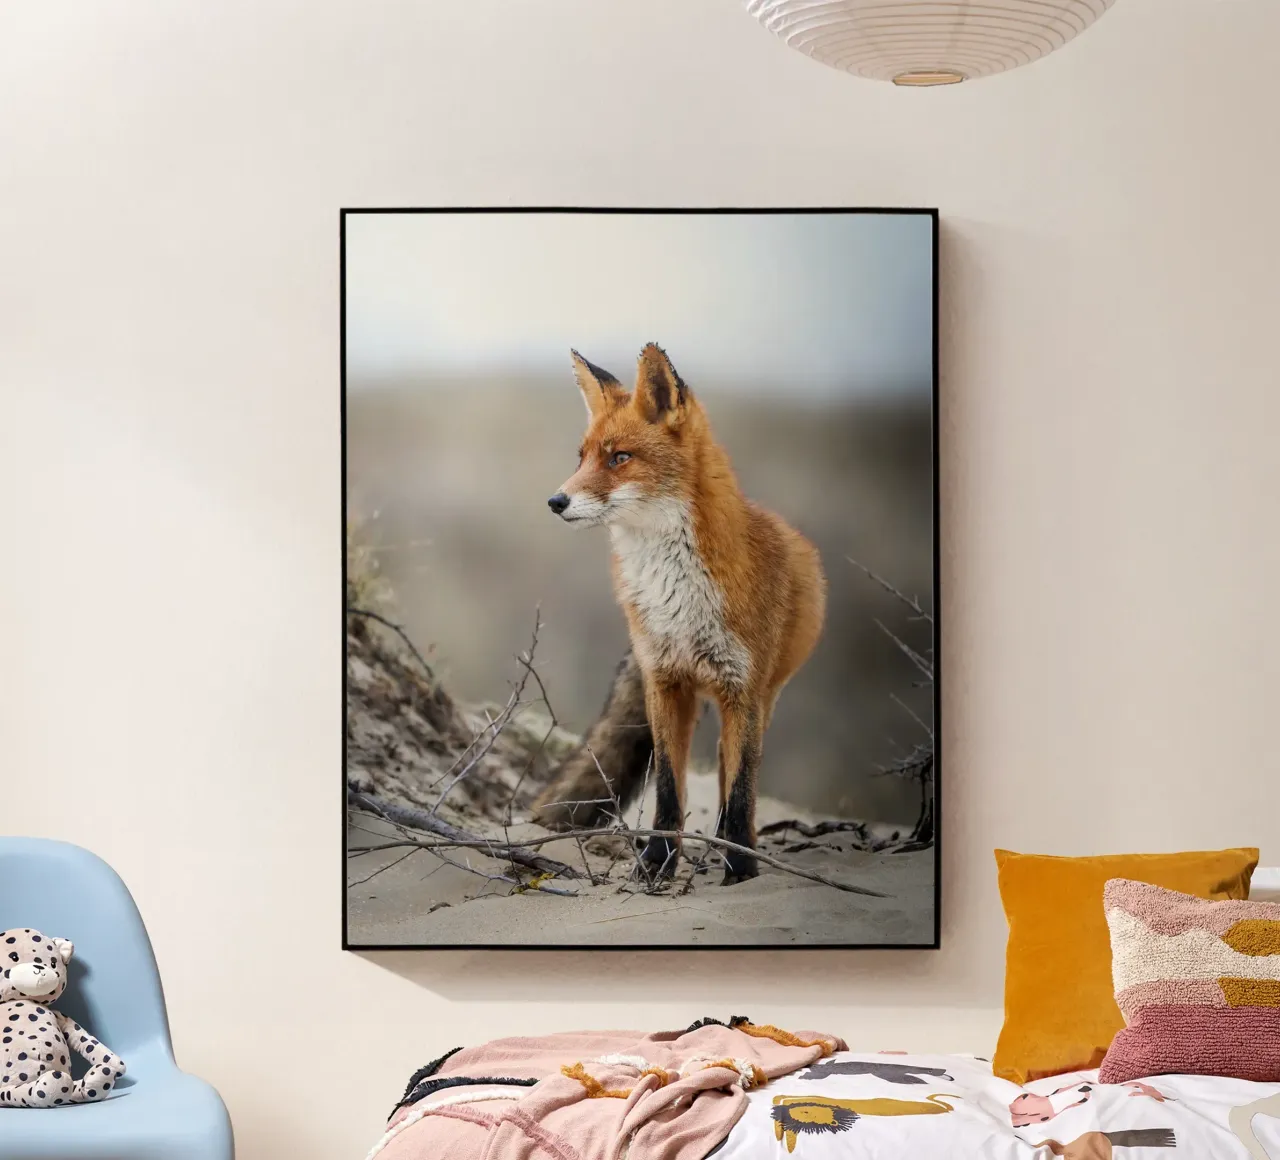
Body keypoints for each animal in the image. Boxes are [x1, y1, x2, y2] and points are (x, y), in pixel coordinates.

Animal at [533, 343, 826, 884]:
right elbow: (669, 788)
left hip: (762, 700)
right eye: (582, 457)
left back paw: (733, 844)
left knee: (733, 773)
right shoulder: (665, 680)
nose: (555, 500)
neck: (678, 598)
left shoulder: (743, 689)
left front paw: (740, 867)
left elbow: (741, 790)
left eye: (619, 458)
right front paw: (656, 863)